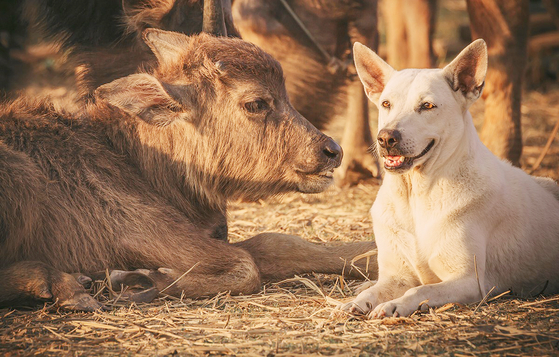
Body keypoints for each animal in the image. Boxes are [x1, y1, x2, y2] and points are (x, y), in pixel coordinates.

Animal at [0, 29, 378, 308]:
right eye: (256, 103)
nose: (332, 151)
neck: (133, 162)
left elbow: (278, 244)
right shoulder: (141, 230)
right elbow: (247, 264)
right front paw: (140, 279)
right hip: (23, 176)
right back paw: (63, 286)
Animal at [342, 39, 559, 318]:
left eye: (427, 106)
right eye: (386, 104)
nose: (386, 138)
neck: (416, 194)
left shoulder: (469, 281)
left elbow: (420, 290)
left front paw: (394, 305)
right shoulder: (397, 276)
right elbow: (378, 290)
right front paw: (359, 301)